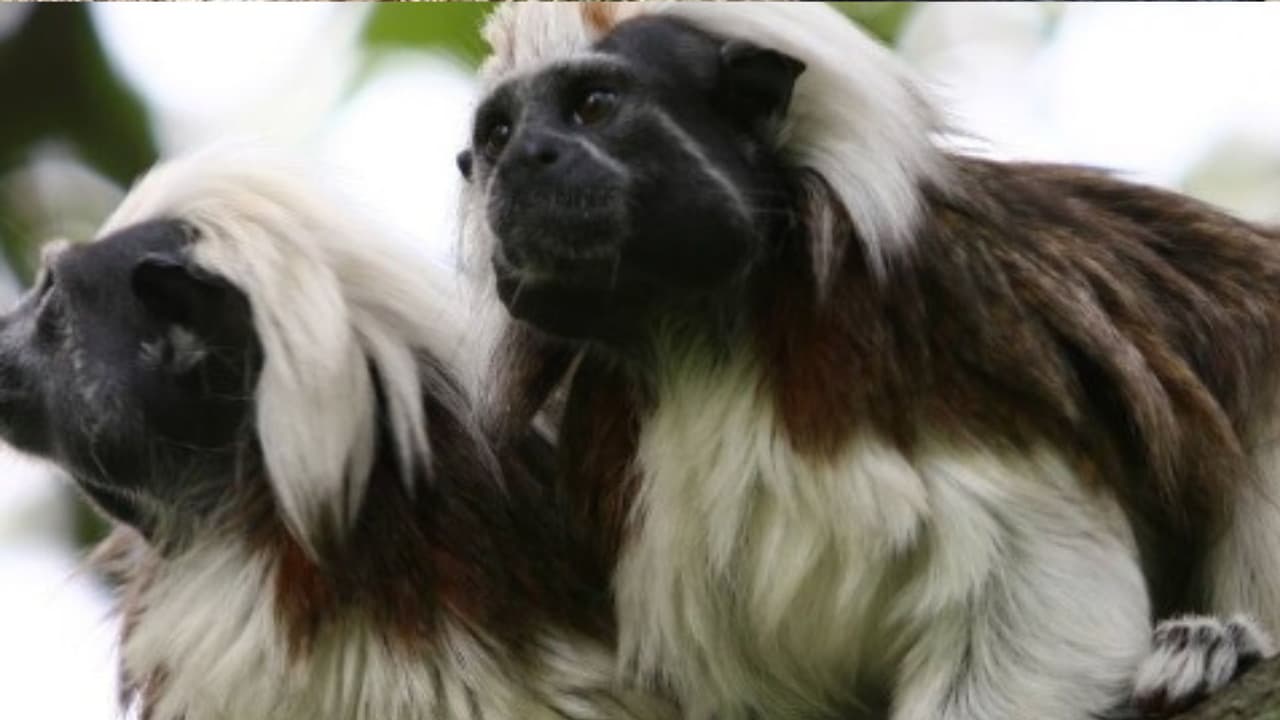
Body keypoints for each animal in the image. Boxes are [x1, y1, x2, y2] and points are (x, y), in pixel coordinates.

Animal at [459, 4, 1280, 719]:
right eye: (499, 134)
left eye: (593, 105)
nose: (526, 159)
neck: (703, 339)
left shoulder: (935, 330)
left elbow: (1039, 590)